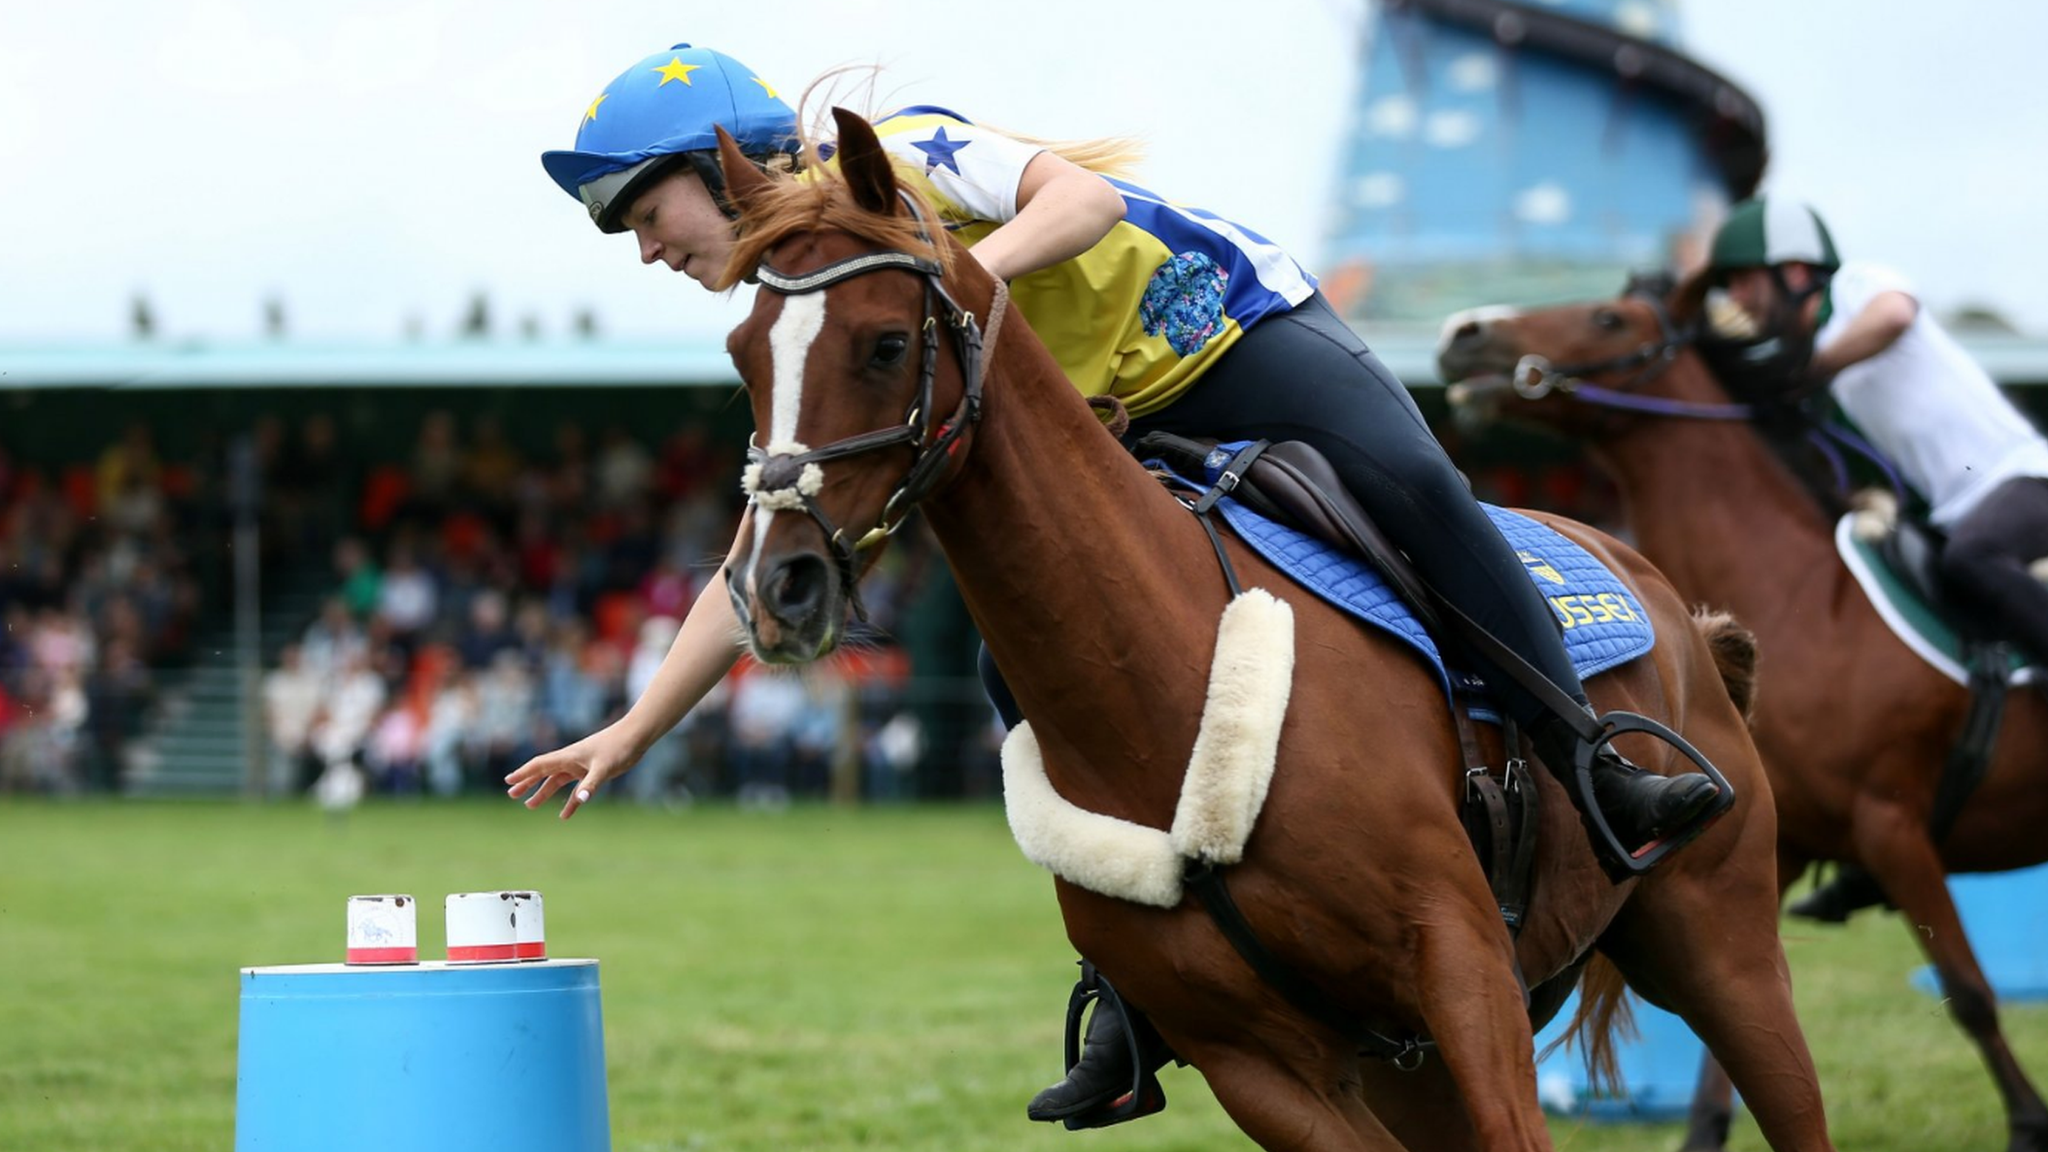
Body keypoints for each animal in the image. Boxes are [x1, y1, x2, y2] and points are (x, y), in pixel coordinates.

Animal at [712, 109, 1835, 1147]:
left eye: (886, 343)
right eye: (741, 356)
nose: (778, 585)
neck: (1166, 686)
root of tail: (1673, 607)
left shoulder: (1462, 968)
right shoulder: (1262, 1068)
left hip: (1725, 955)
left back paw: (1631, 785)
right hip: (1414, 1070)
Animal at [1441, 284, 2048, 1147]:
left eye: (1608, 318)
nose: (1464, 333)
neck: (1807, 599)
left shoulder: (1892, 824)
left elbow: (1968, 992)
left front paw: (2029, 1122)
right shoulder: (1785, 842)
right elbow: (1724, 1055)